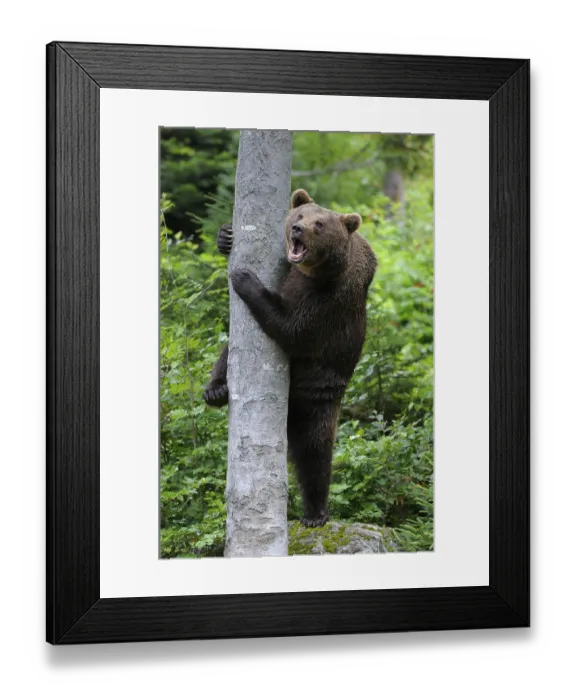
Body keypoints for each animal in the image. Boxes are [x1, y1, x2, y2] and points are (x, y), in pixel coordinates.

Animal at [203, 189, 377, 527]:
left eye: (319, 224)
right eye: (299, 215)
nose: (297, 230)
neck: (316, 270)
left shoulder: (326, 301)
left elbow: (290, 326)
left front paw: (245, 277)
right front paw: (225, 237)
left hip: (317, 398)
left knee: (315, 454)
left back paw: (315, 513)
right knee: (228, 350)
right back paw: (215, 390)